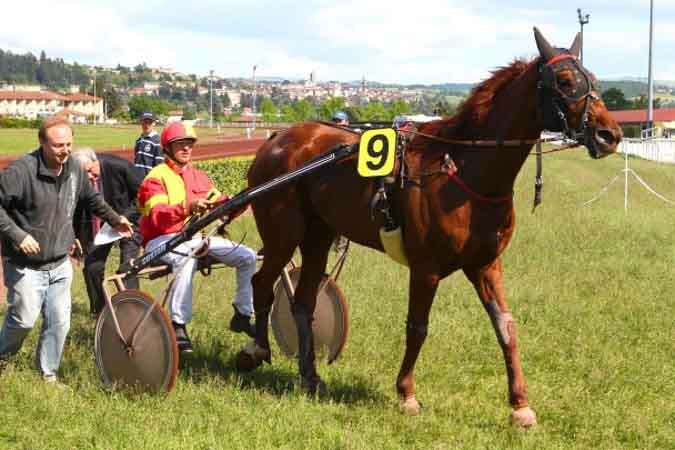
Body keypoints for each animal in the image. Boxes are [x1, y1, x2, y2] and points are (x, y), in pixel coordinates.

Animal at [238, 28, 624, 426]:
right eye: (564, 81)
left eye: (593, 79)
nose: (609, 134)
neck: (464, 170)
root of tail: (277, 139)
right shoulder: (426, 269)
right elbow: (417, 327)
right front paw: (406, 393)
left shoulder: (486, 264)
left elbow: (506, 326)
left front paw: (520, 405)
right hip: (282, 232)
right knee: (262, 284)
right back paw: (256, 349)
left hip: (319, 233)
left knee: (303, 300)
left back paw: (309, 374)